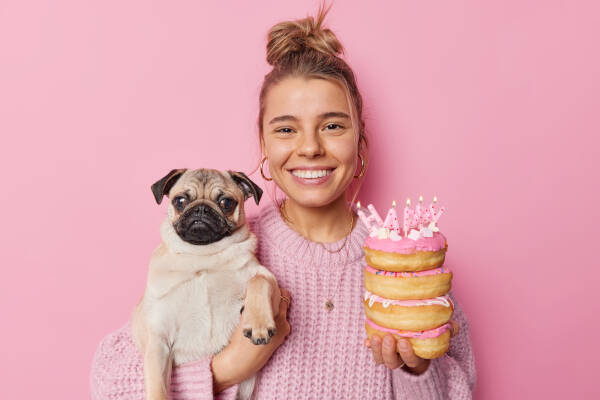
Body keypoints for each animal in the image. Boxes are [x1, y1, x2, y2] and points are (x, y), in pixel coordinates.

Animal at [130, 168, 280, 400]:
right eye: (180, 201)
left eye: (226, 202)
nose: (201, 209)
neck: (203, 256)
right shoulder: (158, 341)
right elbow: (158, 388)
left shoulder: (266, 277)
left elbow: (259, 280)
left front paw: (258, 324)